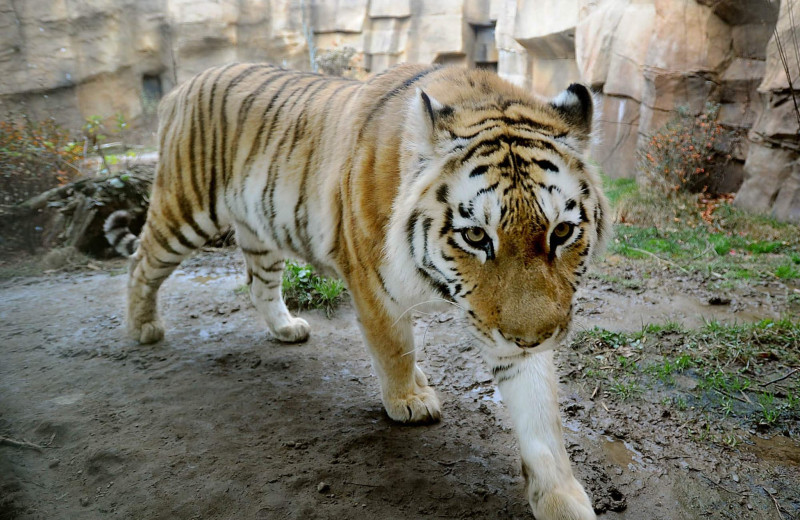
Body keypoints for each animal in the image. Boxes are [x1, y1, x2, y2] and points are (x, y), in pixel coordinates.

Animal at [104, 63, 608, 516]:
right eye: (476, 236)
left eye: (562, 232)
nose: (531, 338)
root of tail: (182, 86)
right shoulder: (373, 282)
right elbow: (394, 348)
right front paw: (408, 401)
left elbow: (540, 415)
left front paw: (561, 499)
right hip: (184, 208)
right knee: (141, 262)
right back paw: (142, 326)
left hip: (259, 230)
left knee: (258, 283)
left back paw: (286, 328)